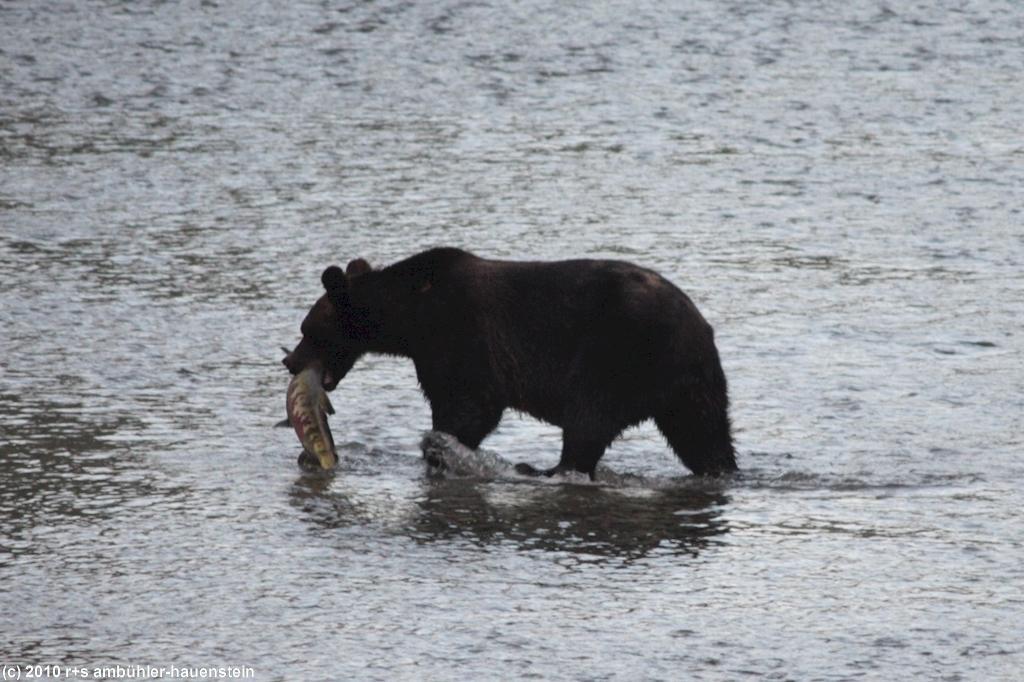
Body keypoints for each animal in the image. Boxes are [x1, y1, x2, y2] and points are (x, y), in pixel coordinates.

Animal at [280, 245, 737, 477]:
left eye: (309, 329)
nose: (290, 362)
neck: (410, 313)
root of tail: (697, 327)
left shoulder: (459, 334)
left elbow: (469, 403)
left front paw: (441, 447)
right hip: (690, 381)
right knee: (703, 432)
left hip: (618, 351)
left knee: (589, 414)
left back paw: (545, 468)